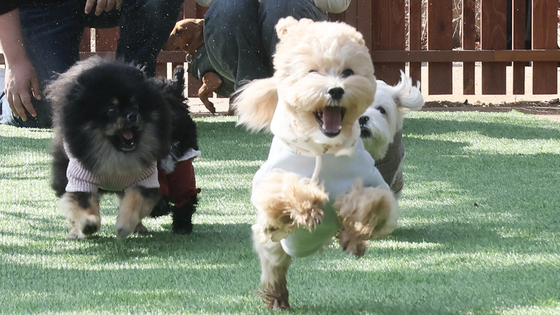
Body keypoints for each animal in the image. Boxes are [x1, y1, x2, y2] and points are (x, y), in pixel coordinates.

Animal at [234, 17, 400, 312]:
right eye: (312, 71)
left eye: (348, 72)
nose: (335, 89)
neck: (325, 147)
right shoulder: (270, 179)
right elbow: (285, 188)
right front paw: (308, 207)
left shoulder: (376, 182)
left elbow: (374, 203)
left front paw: (352, 228)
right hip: (275, 249)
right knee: (274, 266)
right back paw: (276, 295)